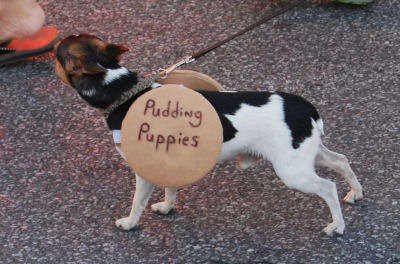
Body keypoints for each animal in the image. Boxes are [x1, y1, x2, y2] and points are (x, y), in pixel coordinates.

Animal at [54, 34, 362, 235]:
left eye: (57, 52)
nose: (55, 43)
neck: (120, 89)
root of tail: (305, 106)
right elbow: (171, 188)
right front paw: (167, 207)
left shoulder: (143, 171)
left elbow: (137, 202)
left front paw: (130, 224)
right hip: (307, 155)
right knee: (341, 161)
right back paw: (355, 193)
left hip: (292, 171)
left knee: (328, 188)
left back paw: (338, 225)